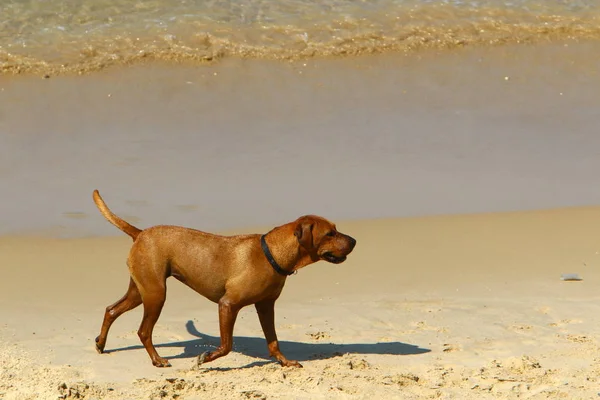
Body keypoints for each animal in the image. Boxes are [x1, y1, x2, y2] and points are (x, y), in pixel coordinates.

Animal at [92, 191, 356, 368]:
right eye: (330, 233)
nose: (354, 241)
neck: (271, 253)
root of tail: (140, 233)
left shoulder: (266, 306)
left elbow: (273, 342)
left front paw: (285, 362)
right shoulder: (228, 305)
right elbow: (226, 345)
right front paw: (207, 357)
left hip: (141, 290)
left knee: (111, 310)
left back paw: (101, 344)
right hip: (156, 294)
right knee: (143, 331)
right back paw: (157, 360)